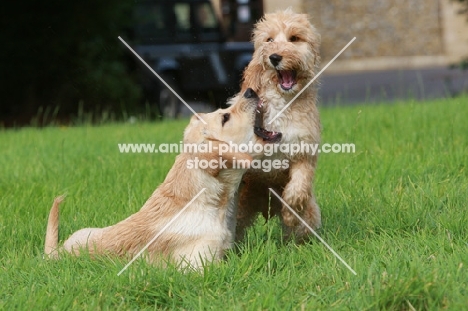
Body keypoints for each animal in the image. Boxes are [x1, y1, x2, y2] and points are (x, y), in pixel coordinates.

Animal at [234, 9, 322, 241]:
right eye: (269, 40)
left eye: (294, 38)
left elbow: (299, 185)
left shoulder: (304, 149)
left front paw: (291, 213)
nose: (274, 57)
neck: (282, 103)